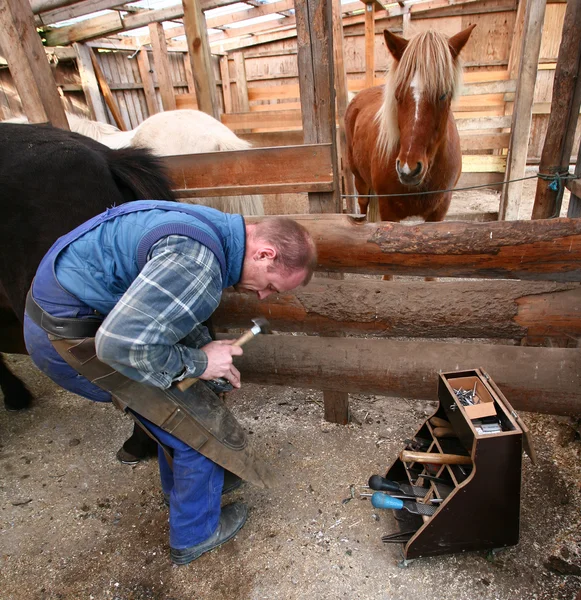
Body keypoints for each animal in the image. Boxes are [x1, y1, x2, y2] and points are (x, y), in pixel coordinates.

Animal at [346, 25, 474, 223]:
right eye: (398, 95)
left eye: (443, 94)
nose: (408, 170)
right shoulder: (388, 211)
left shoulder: (439, 212)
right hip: (360, 181)